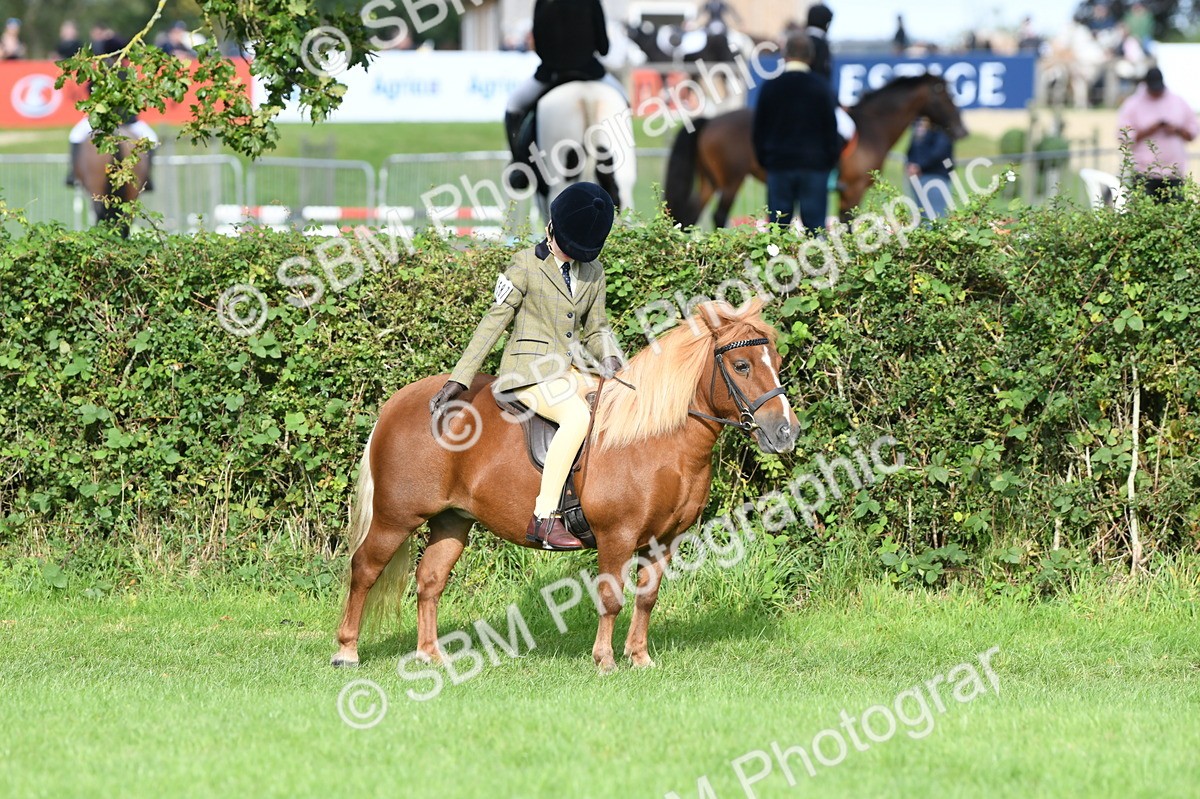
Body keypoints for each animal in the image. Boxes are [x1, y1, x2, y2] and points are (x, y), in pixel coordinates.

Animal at [332, 299, 798, 673]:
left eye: (776, 361)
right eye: (741, 365)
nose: (785, 432)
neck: (657, 440)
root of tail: (402, 401)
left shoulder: (665, 541)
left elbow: (647, 598)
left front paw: (640, 658)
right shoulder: (617, 536)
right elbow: (611, 597)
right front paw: (605, 661)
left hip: (452, 520)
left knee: (430, 580)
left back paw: (431, 655)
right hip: (396, 517)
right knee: (364, 570)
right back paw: (346, 652)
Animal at [664, 73, 969, 228]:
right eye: (945, 95)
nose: (961, 130)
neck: (873, 127)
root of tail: (710, 120)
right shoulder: (853, 190)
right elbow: (847, 224)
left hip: (710, 181)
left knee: (691, 215)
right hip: (731, 181)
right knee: (718, 217)